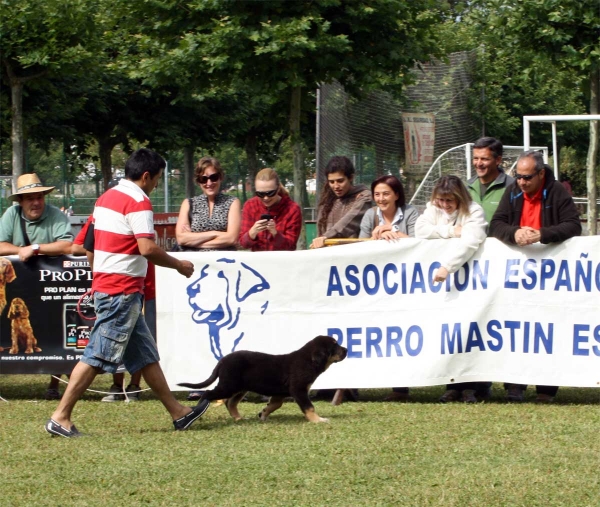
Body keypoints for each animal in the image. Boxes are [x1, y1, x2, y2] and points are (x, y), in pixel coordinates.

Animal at [178, 336, 346, 422]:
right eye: (335, 346)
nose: (346, 349)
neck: (308, 361)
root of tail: (222, 360)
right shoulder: (298, 390)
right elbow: (309, 407)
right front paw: (318, 420)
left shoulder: (280, 393)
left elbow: (275, 405)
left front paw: (263, 414)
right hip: (228, 385)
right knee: (208, 393)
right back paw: (197, 413)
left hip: (240, 388)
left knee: (230, 402)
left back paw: (238, 418)